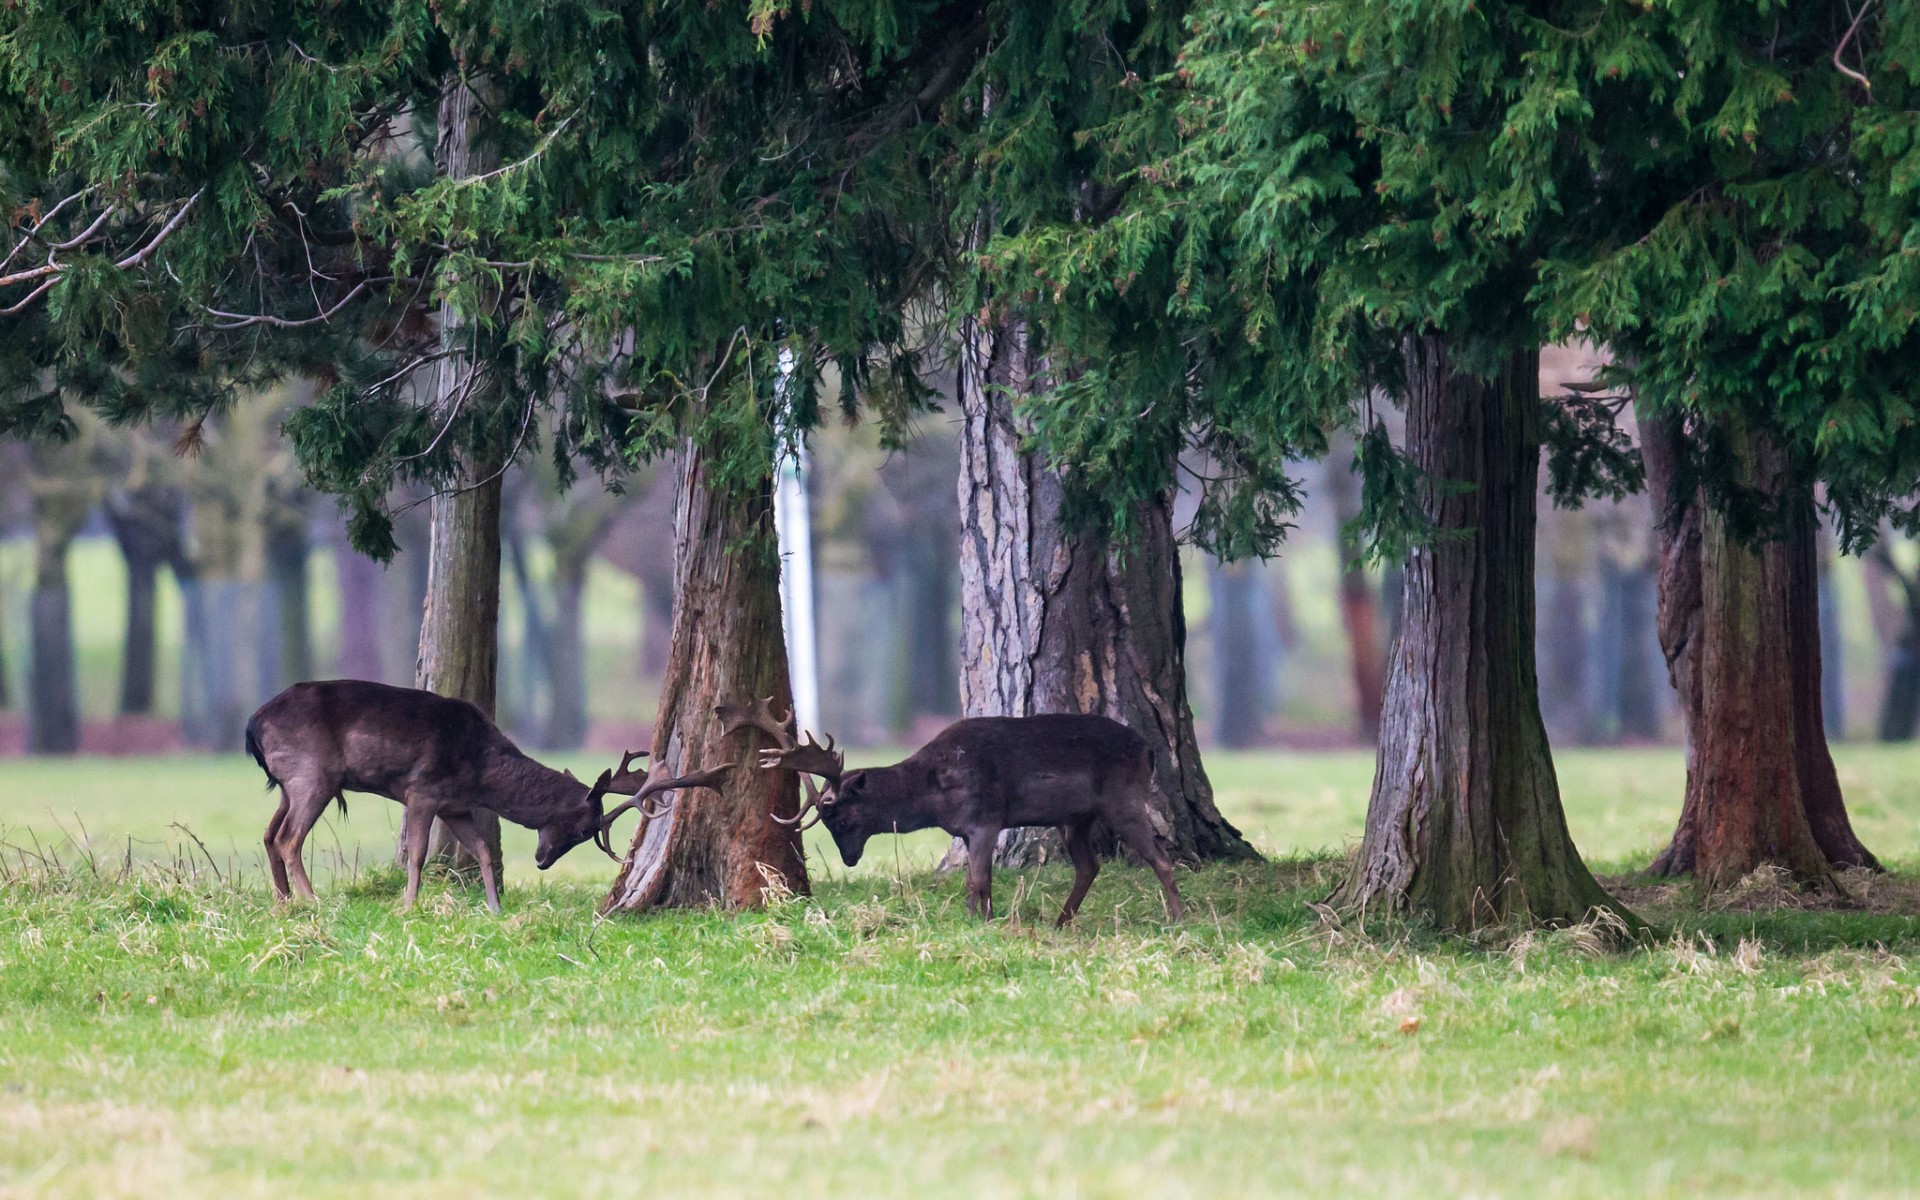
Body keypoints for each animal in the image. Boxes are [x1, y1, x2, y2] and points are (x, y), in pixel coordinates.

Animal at [251, 679, 729, 913]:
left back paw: (283, 902)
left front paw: (496, 907)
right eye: (583, 829)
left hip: (289, 782)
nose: (542, 861)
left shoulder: (456, 804)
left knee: (270, 834)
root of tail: (252, 725)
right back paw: (313, 901)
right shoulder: (422, 790)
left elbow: (482, 850)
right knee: (290, 838)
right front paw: (408, 907)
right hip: (312, 773)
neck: (480, 769)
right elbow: (418, 853)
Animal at [714, 691, 1175, 925]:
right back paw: (1060, 921)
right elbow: (976, 883)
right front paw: (977, 920)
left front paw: (982, 923)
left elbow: (978, 880)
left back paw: (1177, 918)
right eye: (827, 825)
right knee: (1089, 865)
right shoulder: (967, 829)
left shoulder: (986, 818)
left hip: (1122, 799)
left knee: (1161, 857)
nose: (849, 860)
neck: (933, 795)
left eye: (840, 817)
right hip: (1076, 818)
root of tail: (1149, 750)